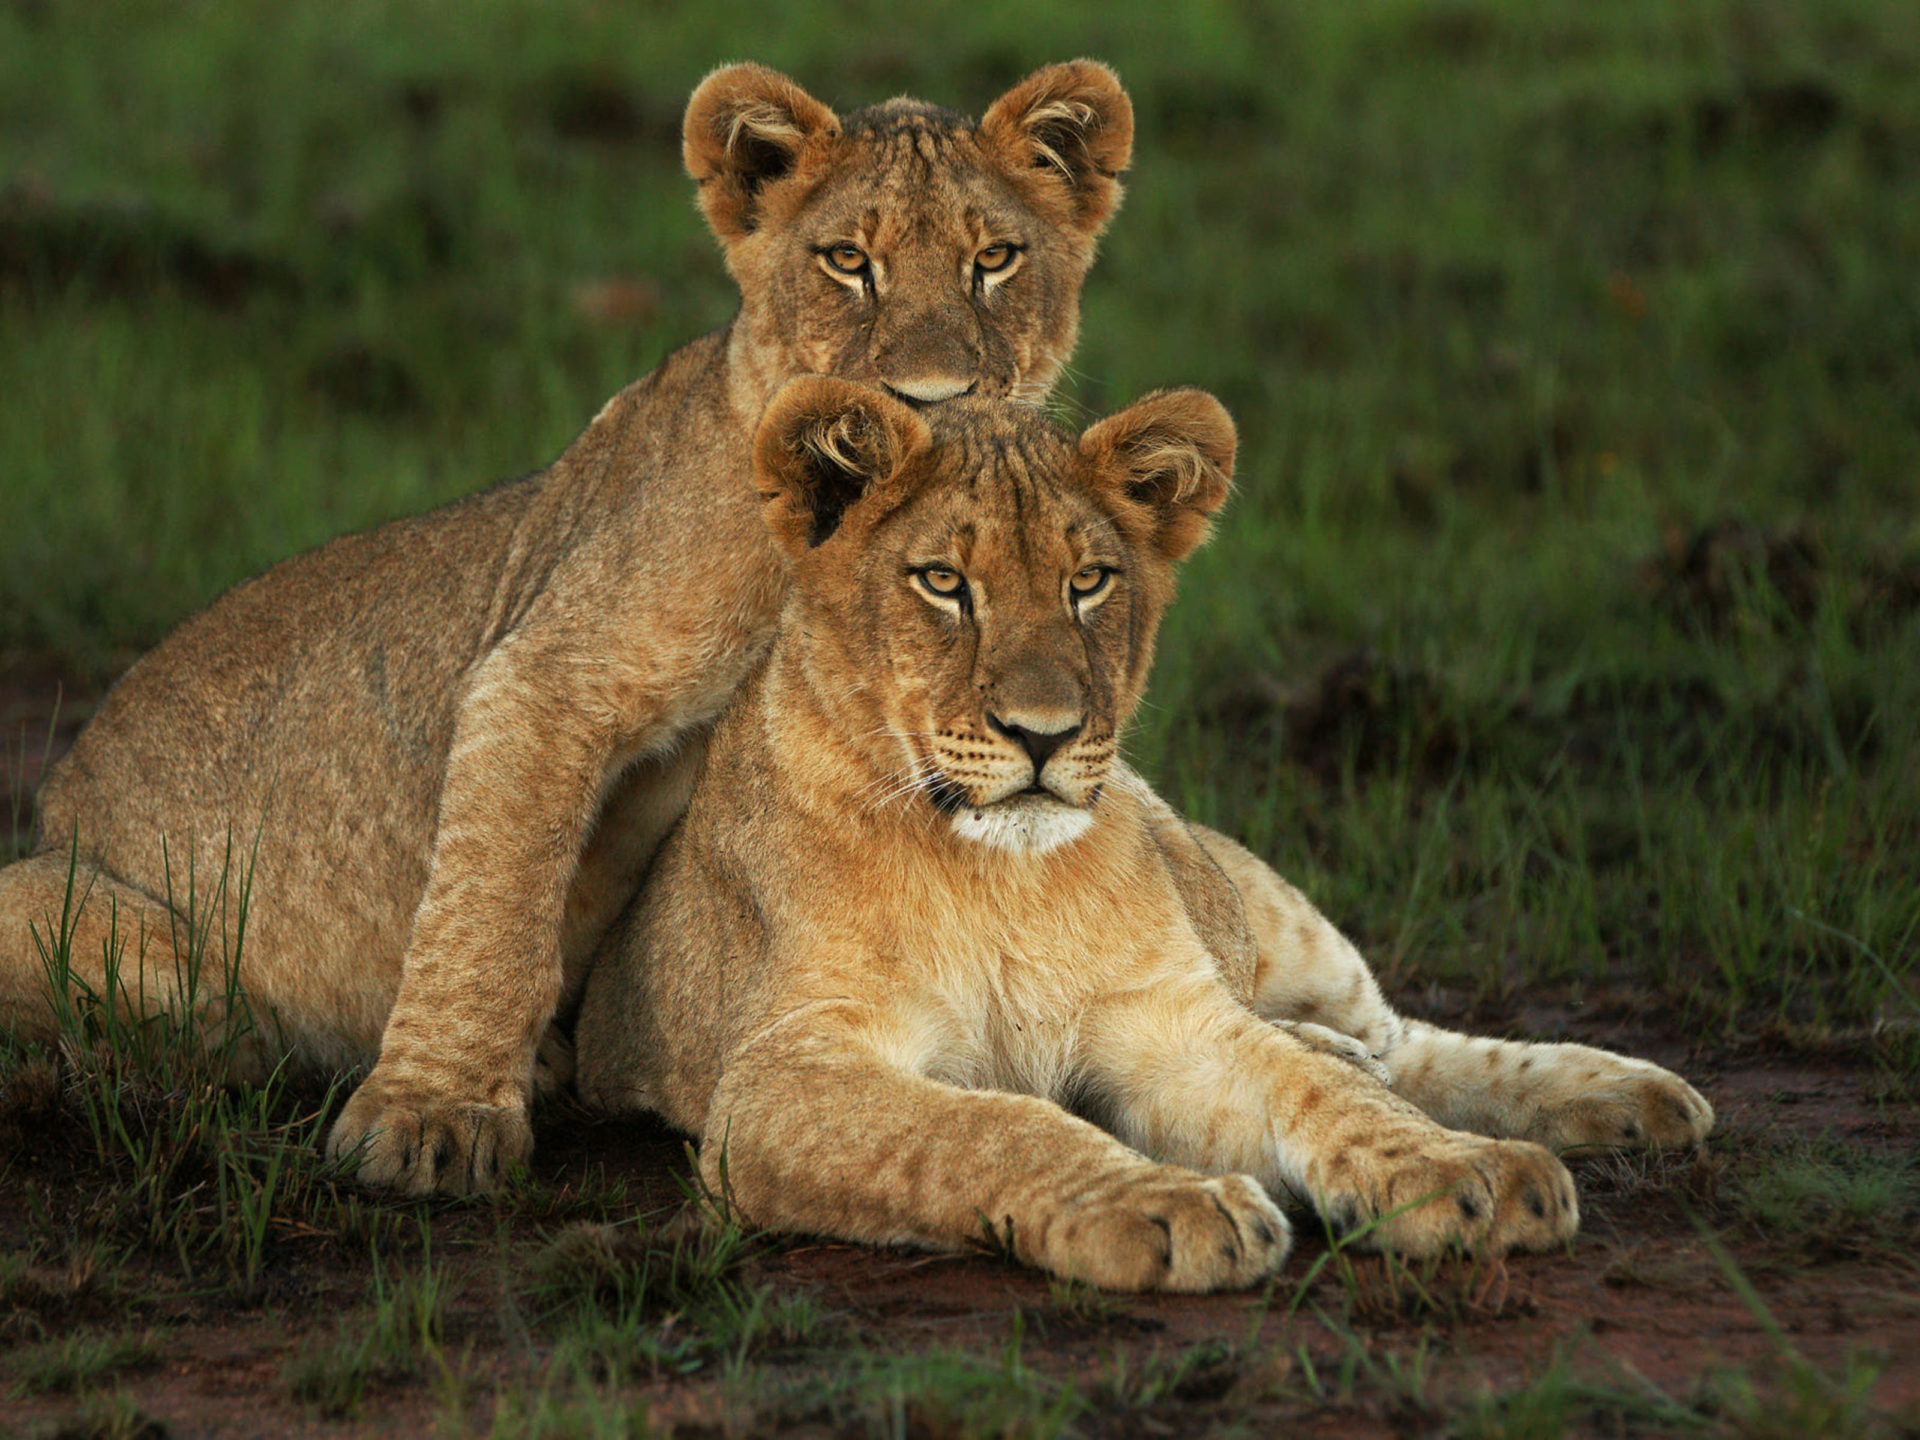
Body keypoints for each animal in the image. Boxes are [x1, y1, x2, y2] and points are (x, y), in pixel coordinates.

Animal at [0, 60, 1136, 1194]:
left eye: (994, 260)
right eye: (847, 261)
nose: (933, 402)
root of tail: (61, 789)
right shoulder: (544, 673)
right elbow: (493, 901)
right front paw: (431, 1114)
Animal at [571, 379, 1714, 1290]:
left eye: (1089, 583)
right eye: (944, 582)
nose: (1044, 734)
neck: (997, 877)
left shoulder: (1167, 1017)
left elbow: (1318, 1093)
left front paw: (1464, 1170)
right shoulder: (780, 1079)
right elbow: (992, 1122)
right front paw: (1172, 1207)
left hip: (1277, 919)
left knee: (1398, 1044)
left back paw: (1639, 1094)